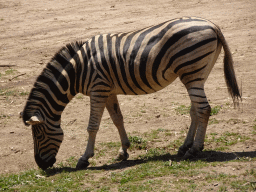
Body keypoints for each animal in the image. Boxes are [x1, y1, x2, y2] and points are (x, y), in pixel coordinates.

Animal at [21, 16, 241, 170]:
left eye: (38, 135)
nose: (41, 166)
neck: (77, 70)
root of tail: (212, 24)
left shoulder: (98, 89)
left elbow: (92, 126)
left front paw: (84, 158)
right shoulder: (108, 91)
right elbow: (118, 119)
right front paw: (123, 151)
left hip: (191, 72)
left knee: (203, 109)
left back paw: (194, 149)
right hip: (197, 74)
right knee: (195, 110)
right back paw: (184, 146)